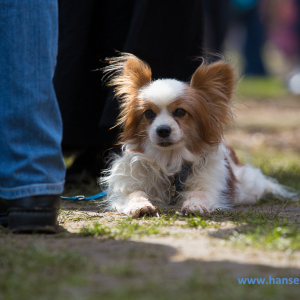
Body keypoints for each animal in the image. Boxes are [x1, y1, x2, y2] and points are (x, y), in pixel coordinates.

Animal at [100, 54, 296, 217]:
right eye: (148, 113)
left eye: (180, 112)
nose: (163, 130)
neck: (169, 159)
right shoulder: (127, 186)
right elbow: (135, 193)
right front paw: (140, 206)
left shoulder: (209, 185)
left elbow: (199, 193)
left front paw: (195, 205)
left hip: (248, 185)